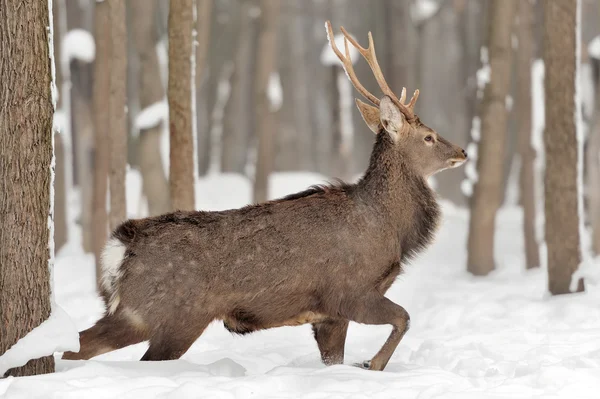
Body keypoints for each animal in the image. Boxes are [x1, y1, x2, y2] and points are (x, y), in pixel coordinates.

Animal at [62, 21, 468, 372]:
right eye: (429, 137)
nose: (462, 151)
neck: (390, 229)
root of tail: (120, 246)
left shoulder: (328, 315)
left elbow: (335, 358)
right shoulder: (348, 293)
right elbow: (404, 317)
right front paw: (372, 364)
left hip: (135, 312)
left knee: (79, 342)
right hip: (172, 314)